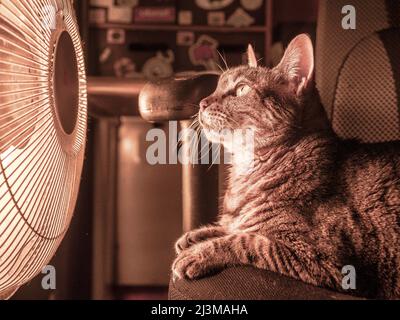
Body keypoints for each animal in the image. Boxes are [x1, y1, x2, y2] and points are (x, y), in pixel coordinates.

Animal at [172, 33, 400, 298]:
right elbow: (235, 227)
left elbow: (248, 240)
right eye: (218, 86)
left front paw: (199, 252)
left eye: (242, 89)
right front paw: (199, 235)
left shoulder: (322, 260)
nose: (202, 103)